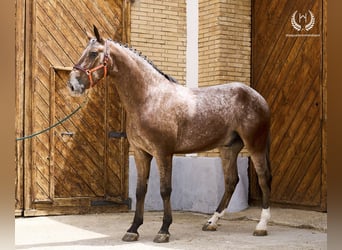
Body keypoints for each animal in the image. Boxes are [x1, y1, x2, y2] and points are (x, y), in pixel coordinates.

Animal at [67, 26, 272, 243]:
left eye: (93, 53)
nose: (72, 85)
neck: (150, 97)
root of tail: (259, 97)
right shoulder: (141, 153)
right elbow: (140, 191)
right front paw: (133, 229)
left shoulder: (163, 152)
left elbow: (165, 190)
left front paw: (164, 230)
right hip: (229, 148)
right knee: (231, 181)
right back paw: (212, 222)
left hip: (255, 145)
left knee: (263, 178)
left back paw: (261, 225)